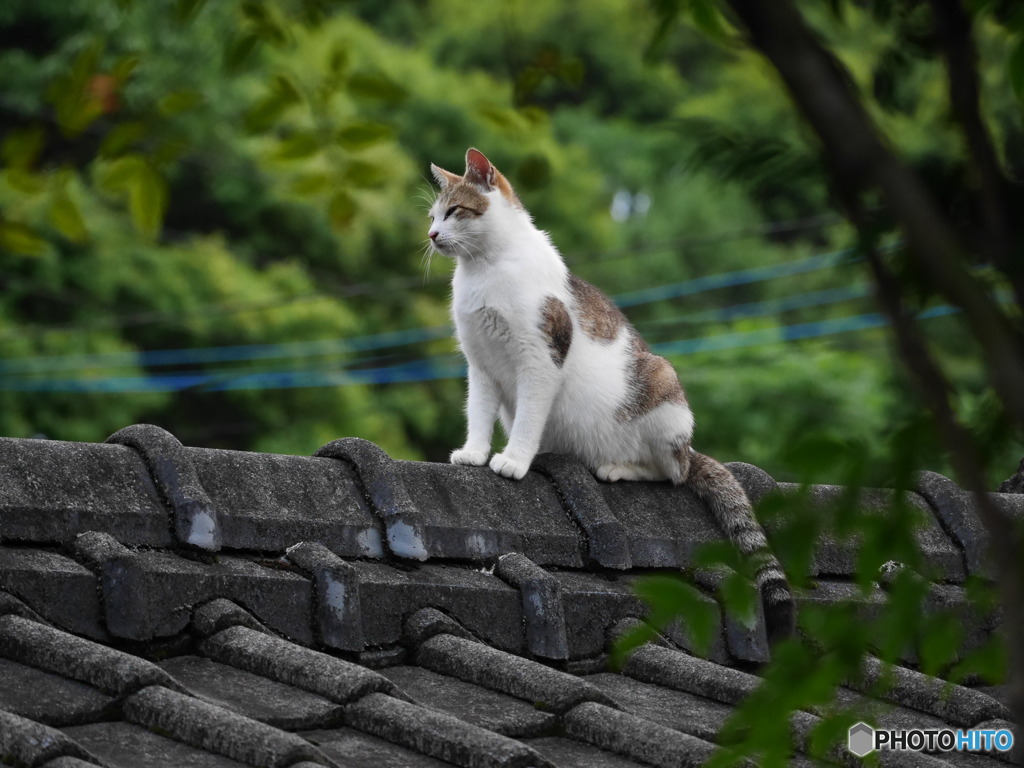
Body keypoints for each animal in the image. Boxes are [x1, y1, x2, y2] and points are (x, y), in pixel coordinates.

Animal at [428, 147, 794, 638]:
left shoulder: (539, 360)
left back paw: (618, 467)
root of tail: (690, 447)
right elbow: (479, 414)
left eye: (454, 211)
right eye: (432, 215)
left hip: (662, 382)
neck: (485, 269)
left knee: (673, 473)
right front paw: (474, 453)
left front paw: (515, 461)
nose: (431, 234)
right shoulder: (481, 365)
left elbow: (527, 418)